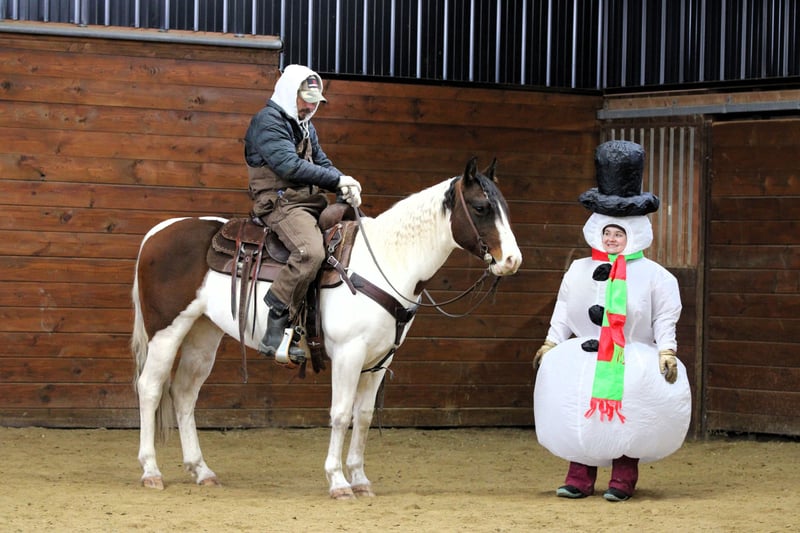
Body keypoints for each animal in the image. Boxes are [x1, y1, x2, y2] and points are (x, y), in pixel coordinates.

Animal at [131, 157, 522, 499]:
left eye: (503, 206)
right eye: (481, 207)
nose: (511, 260)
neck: (387, 262)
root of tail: (157, 232)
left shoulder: (379, 362)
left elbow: (363, 417)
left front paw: (360, 480)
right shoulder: (350, 354)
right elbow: (341, 413)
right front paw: (338, 481)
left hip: (202, 333)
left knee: (184, 393)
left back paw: (202, 470)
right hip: (167, 331)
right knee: (150, 388)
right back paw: (150, 470)